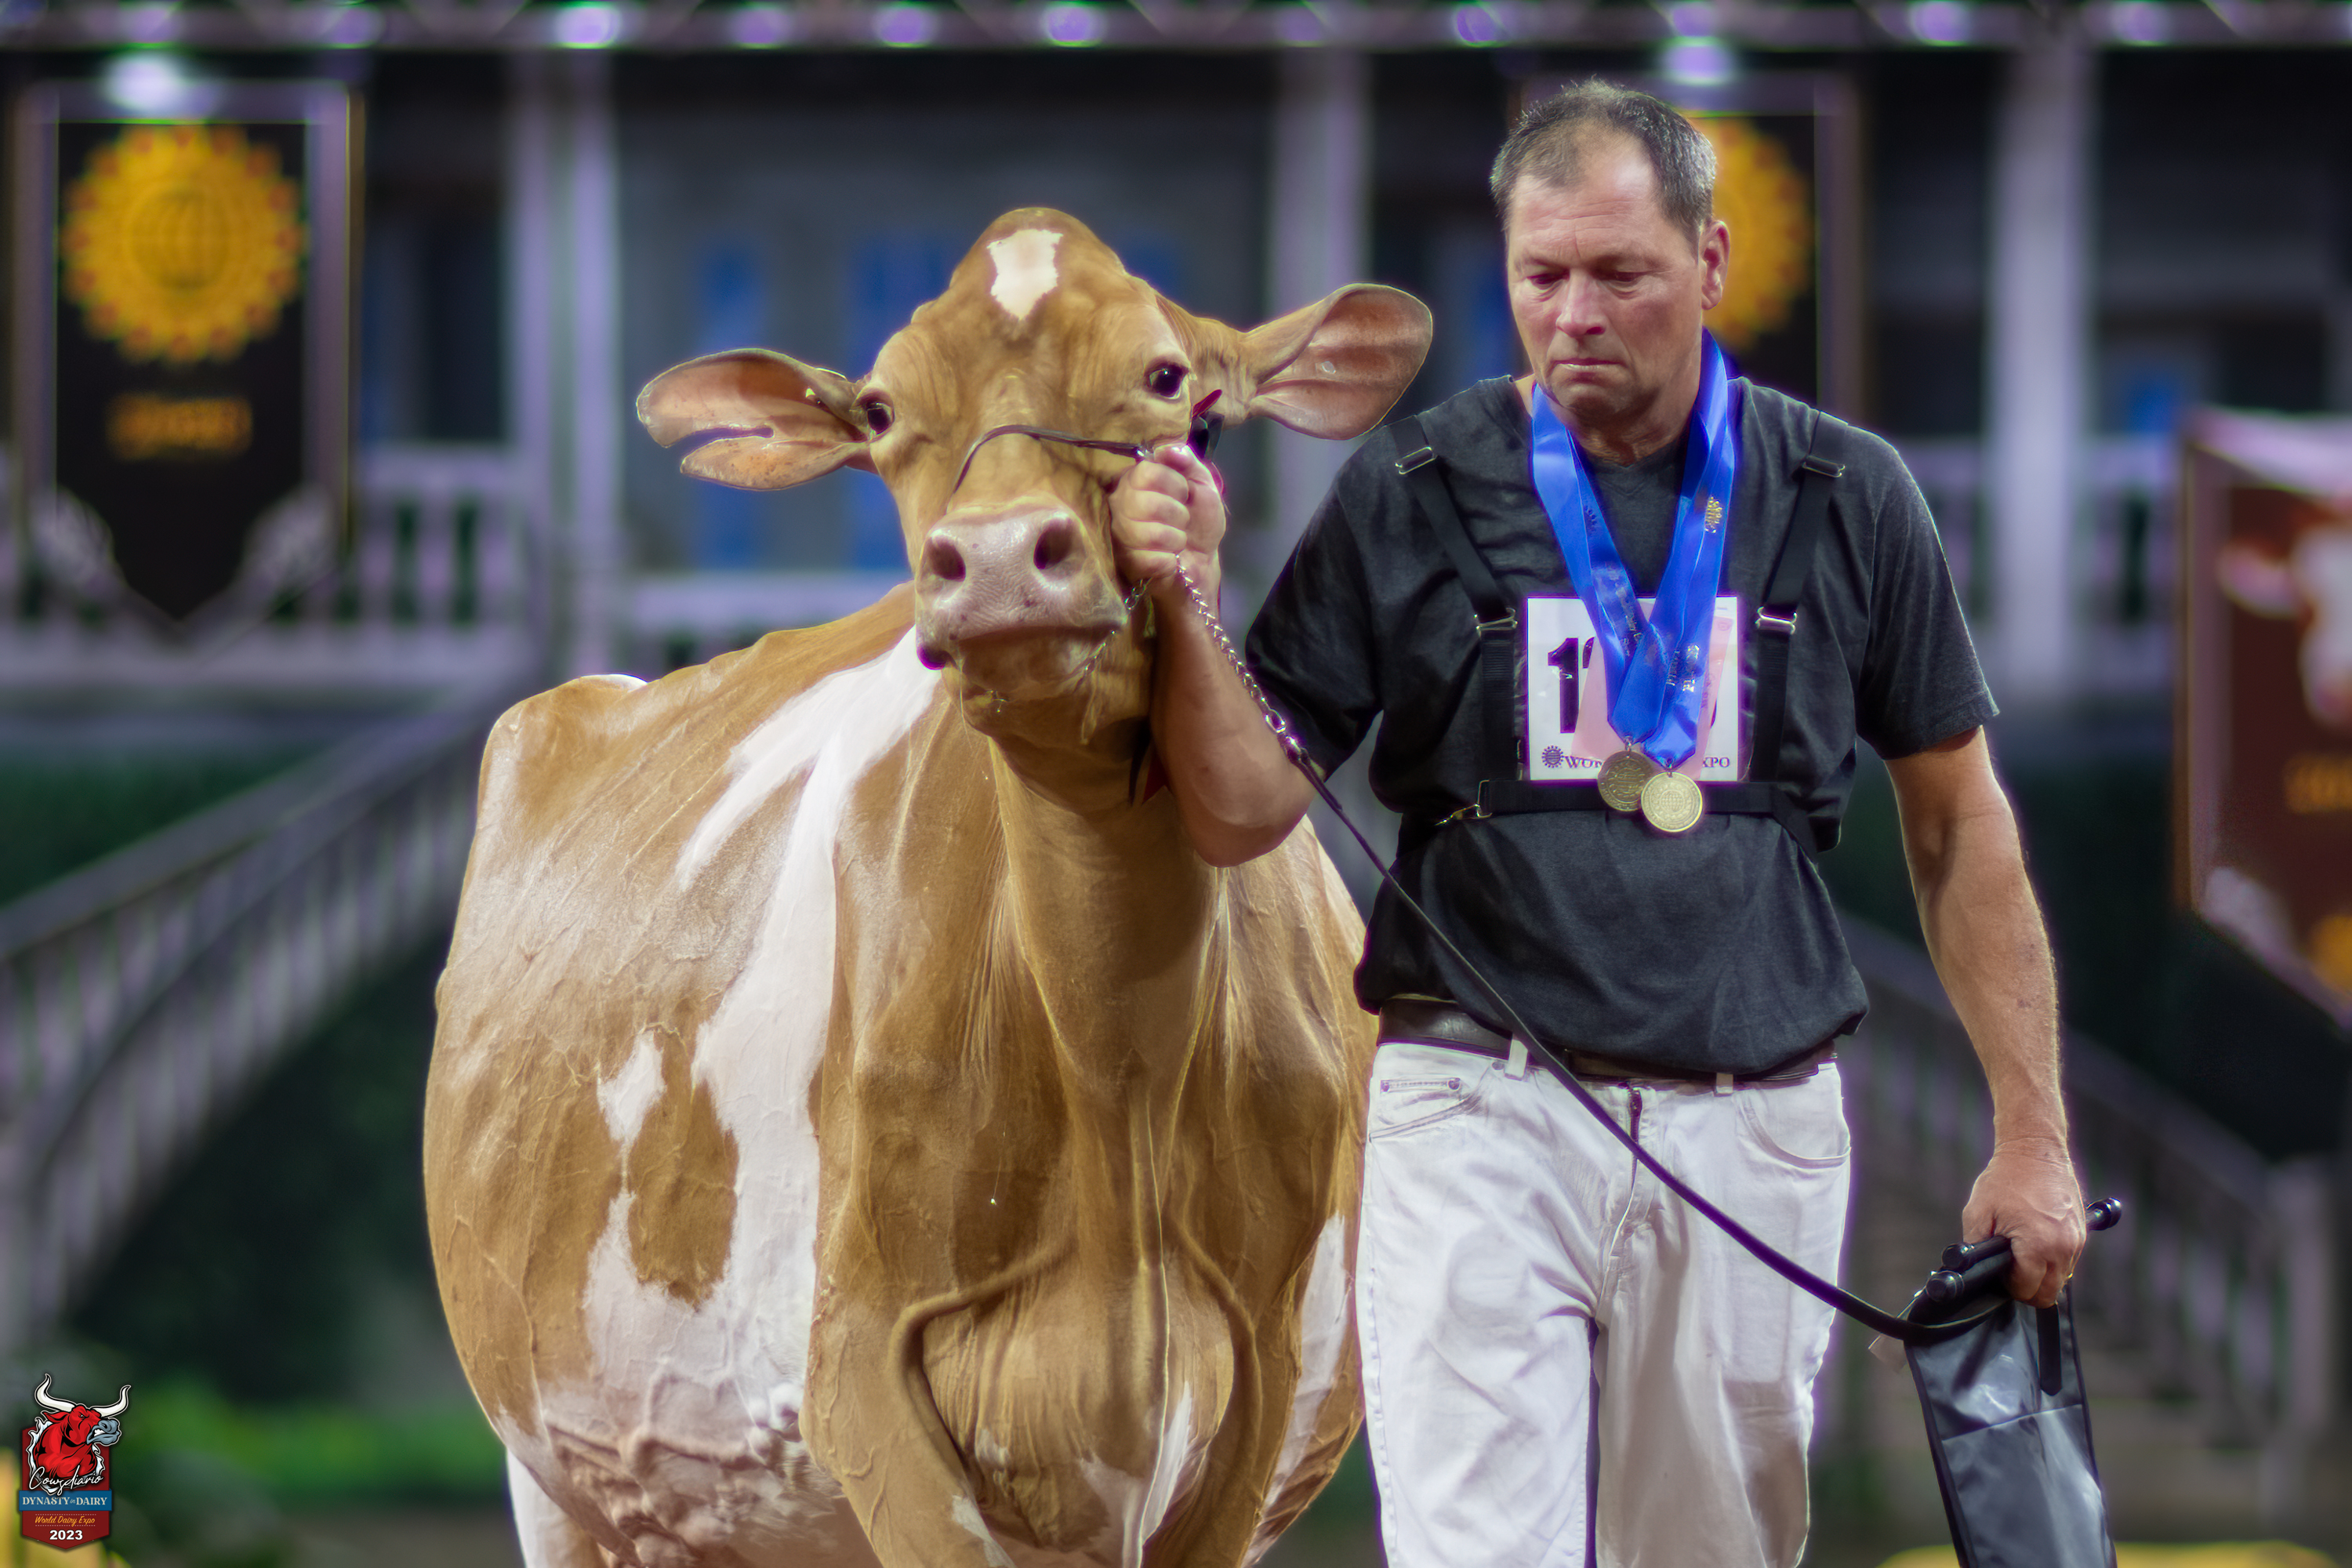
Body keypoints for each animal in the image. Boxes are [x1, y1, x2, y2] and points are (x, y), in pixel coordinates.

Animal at [425, 208, 1432, 1568]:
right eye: (883, 408)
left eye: (1171, 379)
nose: (999, 560)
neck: (1117, 1083)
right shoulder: (860, 1372)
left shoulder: (1255, 1406)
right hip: (559, 1478)